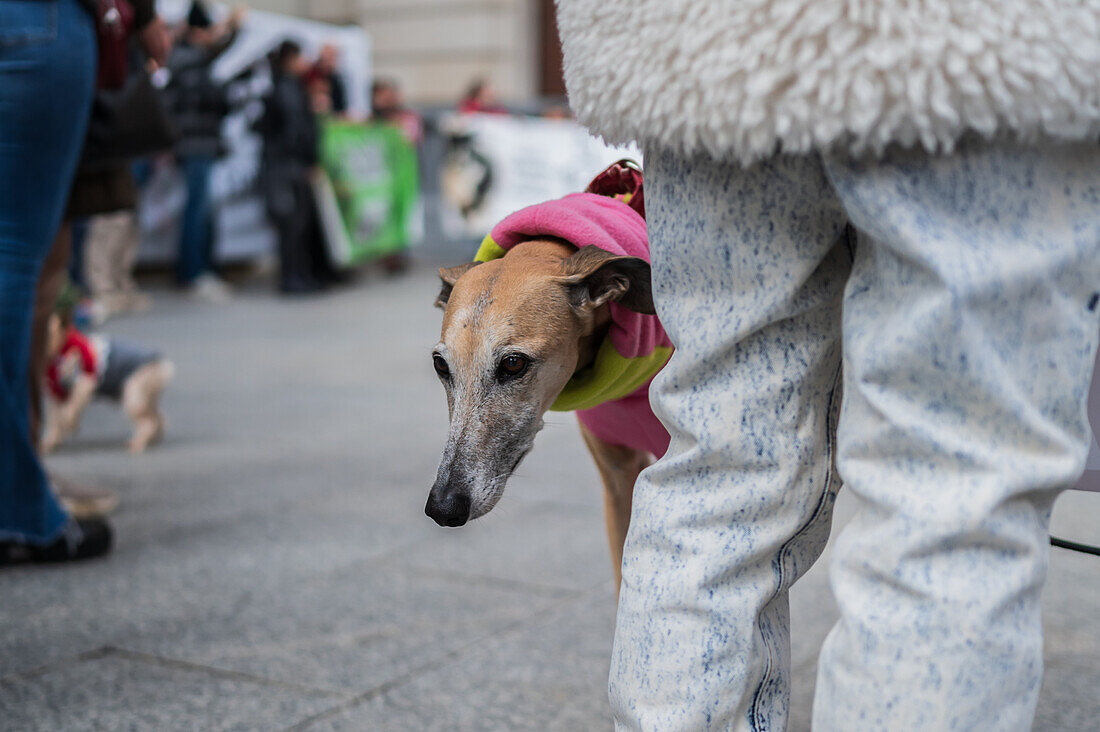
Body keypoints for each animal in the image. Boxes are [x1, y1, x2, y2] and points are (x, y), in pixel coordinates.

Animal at [42, 301, 173, 451]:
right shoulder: (56, 396)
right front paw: (49, 442)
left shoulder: (84, 382)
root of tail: (161, 366)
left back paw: (139, 442)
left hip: (133, 397)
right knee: (157, 416)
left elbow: (70, 410)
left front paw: (71, 424)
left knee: (148, 421)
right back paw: (153, 438)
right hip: (146, 396)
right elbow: (54, 420)